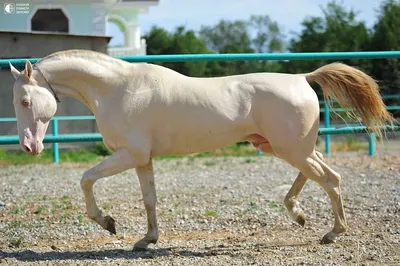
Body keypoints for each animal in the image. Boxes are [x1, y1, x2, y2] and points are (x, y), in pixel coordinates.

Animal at [7, 48, 394, 250]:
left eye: (25, 101)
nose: (28, 146)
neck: (118, 89)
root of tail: (303, 79)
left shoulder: (129, 155)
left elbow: (86, 179)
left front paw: (109, 223)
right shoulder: (142, 159)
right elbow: (150, 199)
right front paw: (146, 240)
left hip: (291, 148)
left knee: (331, 179)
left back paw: (332, 232)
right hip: (283, 147)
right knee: (319, 172)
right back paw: (297, 214)